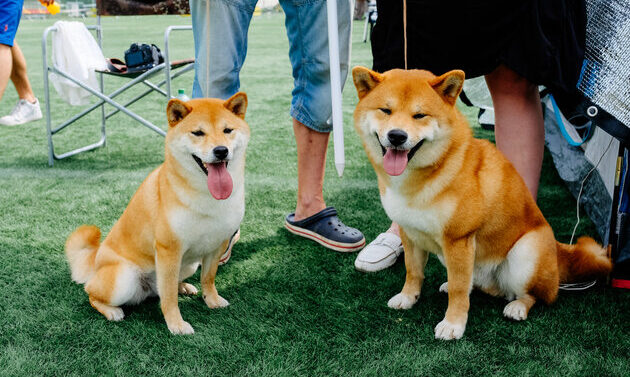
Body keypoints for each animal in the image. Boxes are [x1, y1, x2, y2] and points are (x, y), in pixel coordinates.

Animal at [65, 92, 249, 334]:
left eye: (228, 130)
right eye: (198, 133)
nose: (221, 150)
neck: (207, 197)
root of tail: (95, 261)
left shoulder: (216, 244)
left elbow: (208, 279)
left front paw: (213, 300)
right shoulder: (168, 250)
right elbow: (168, 297)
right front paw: (176, 325)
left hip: (189, 264)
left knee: (163, 288)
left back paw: (184, 286)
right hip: (124, 279)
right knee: (91, 293)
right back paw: (111, 311)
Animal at [350, 66, 612, 340]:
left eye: (419, 115)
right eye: (385, 110)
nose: (397, 136)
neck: (423, 177)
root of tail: (558, 253)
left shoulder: (458, 239)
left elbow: (459, 290)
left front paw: (453, 324)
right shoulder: (410, 233)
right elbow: (414, 271)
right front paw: (407, 297)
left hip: (525, 253)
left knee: (538, 295)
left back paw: (518, 306)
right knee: (478, 283)